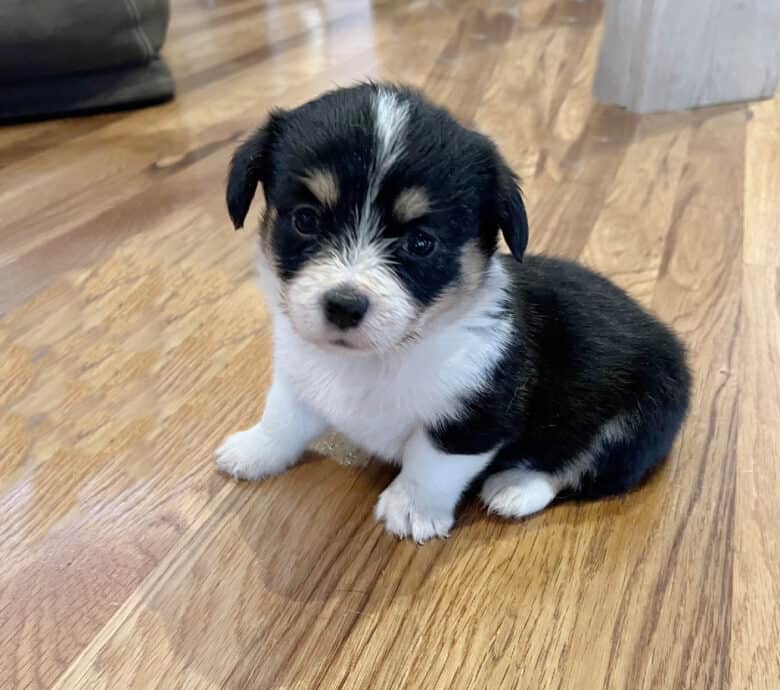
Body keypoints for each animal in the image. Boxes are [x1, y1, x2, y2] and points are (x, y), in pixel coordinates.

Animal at [216, 83, 692, 540]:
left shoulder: (474, 417)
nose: (344, 306)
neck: (380, 358)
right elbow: (282, 417)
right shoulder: (299, 376)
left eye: (421, 243)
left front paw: (411, 510)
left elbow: (432, 463)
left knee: (579, 470)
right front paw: (254, 451)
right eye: (305, 220)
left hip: (637, 422)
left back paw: (516, 487)